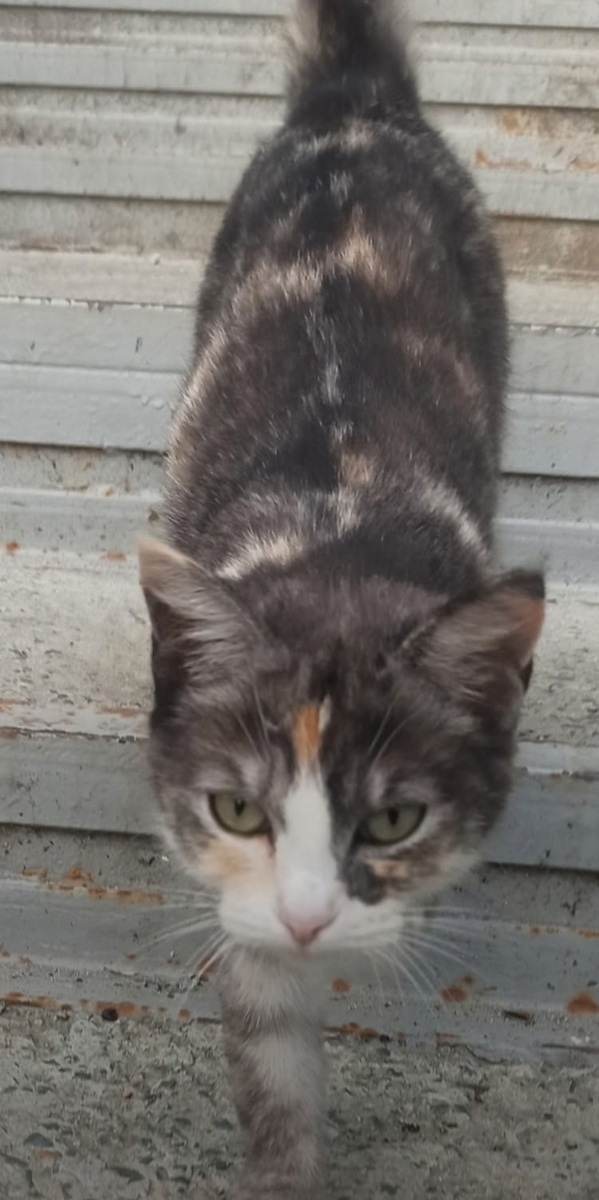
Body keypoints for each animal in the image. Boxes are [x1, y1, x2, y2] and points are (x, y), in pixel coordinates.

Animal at [138, 1, 544, 1196]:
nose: (311, 919)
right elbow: (267, 1047)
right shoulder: (233, 896)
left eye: (395, 817)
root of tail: (354, 102)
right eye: (237, 810)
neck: (332, 546)